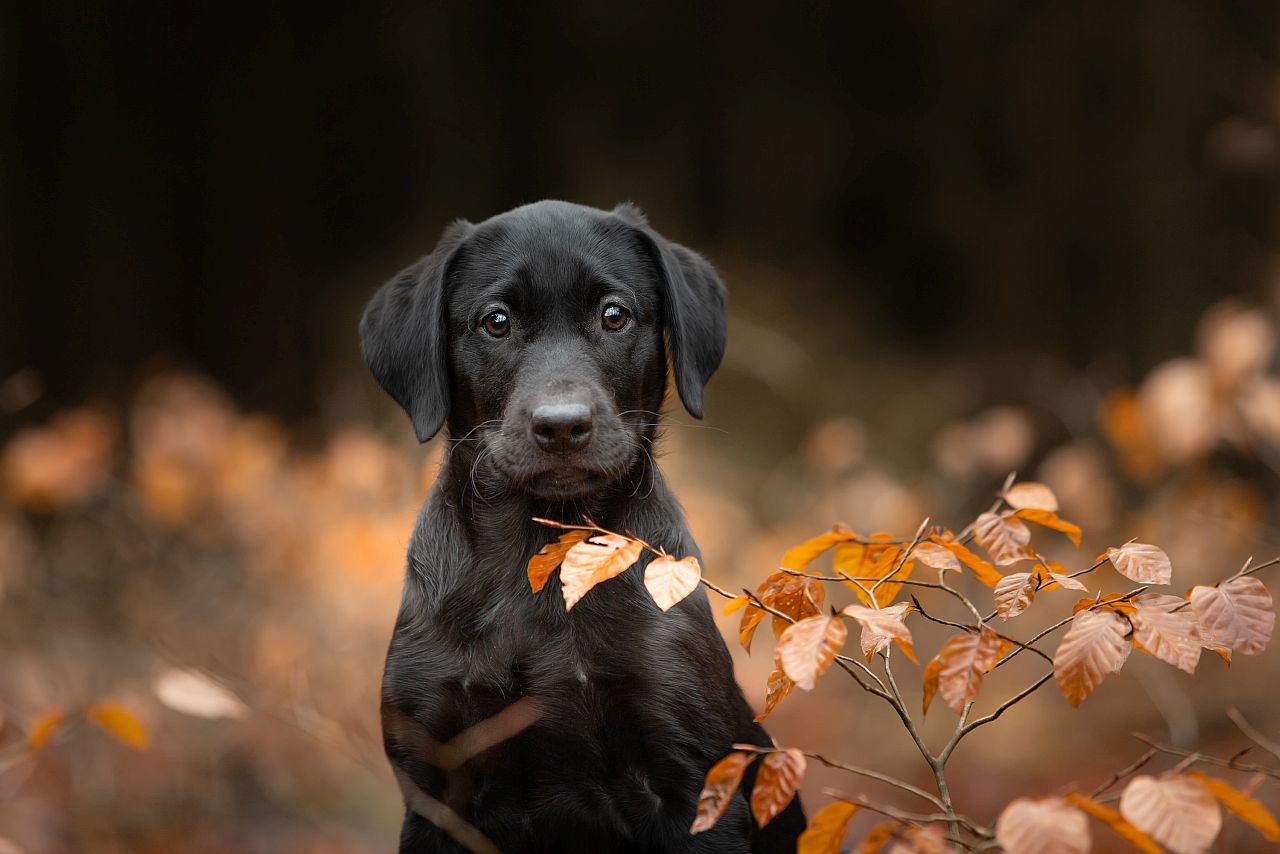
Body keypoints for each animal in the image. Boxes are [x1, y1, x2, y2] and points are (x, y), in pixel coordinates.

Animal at [358, 198, 798, 850]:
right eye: (495, 322)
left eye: (614, 315)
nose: (562, 425)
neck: (539, 551)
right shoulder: (434, 788)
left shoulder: (696, 786)